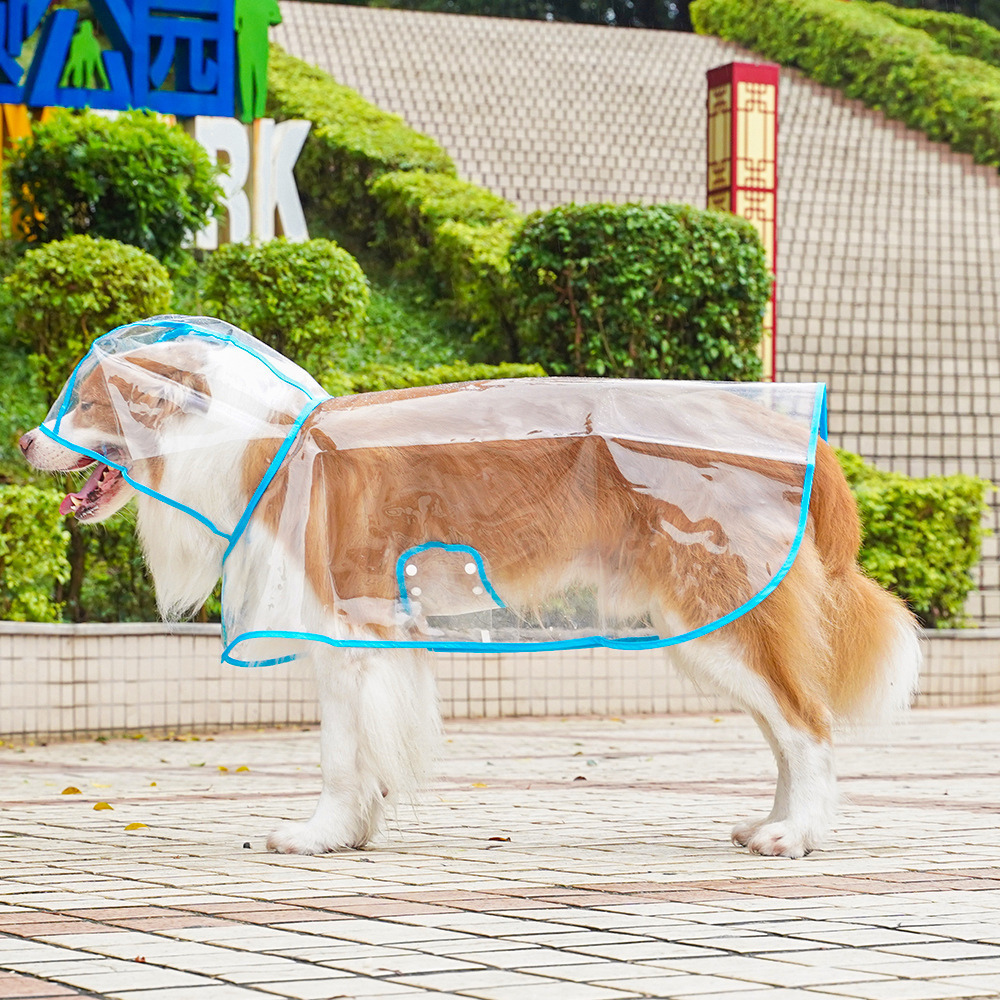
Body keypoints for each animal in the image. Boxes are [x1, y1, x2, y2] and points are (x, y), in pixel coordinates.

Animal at [17, 316, 920, 856]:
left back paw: (799, 836)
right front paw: (353, 830)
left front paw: (319, 833)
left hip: (719, 608)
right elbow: (360, 744)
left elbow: (339, 751)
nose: (23, 441)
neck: (262, 441)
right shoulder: (355, 634)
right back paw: (775, 821)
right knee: (785, 726)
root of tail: (787, 429)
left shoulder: (348, 625)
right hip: (713, 627)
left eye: (86, 404)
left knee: (807, 724)